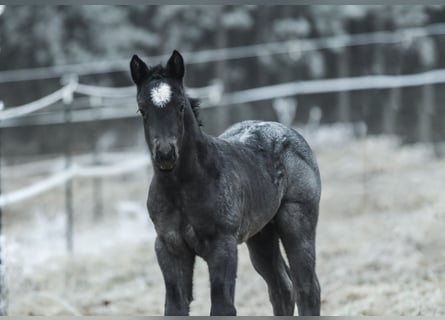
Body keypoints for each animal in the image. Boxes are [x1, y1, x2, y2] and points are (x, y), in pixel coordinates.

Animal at [128, 50, 320, 316]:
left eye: (180, 106)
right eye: (142, 110)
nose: (166, 154)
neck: (182, 189)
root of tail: (287, 131)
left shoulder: (223, 246)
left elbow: (222, 306)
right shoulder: (169, 247)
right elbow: (175, 306)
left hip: (297, 223)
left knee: (307, 288)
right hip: (261, 235)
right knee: (282, 288)